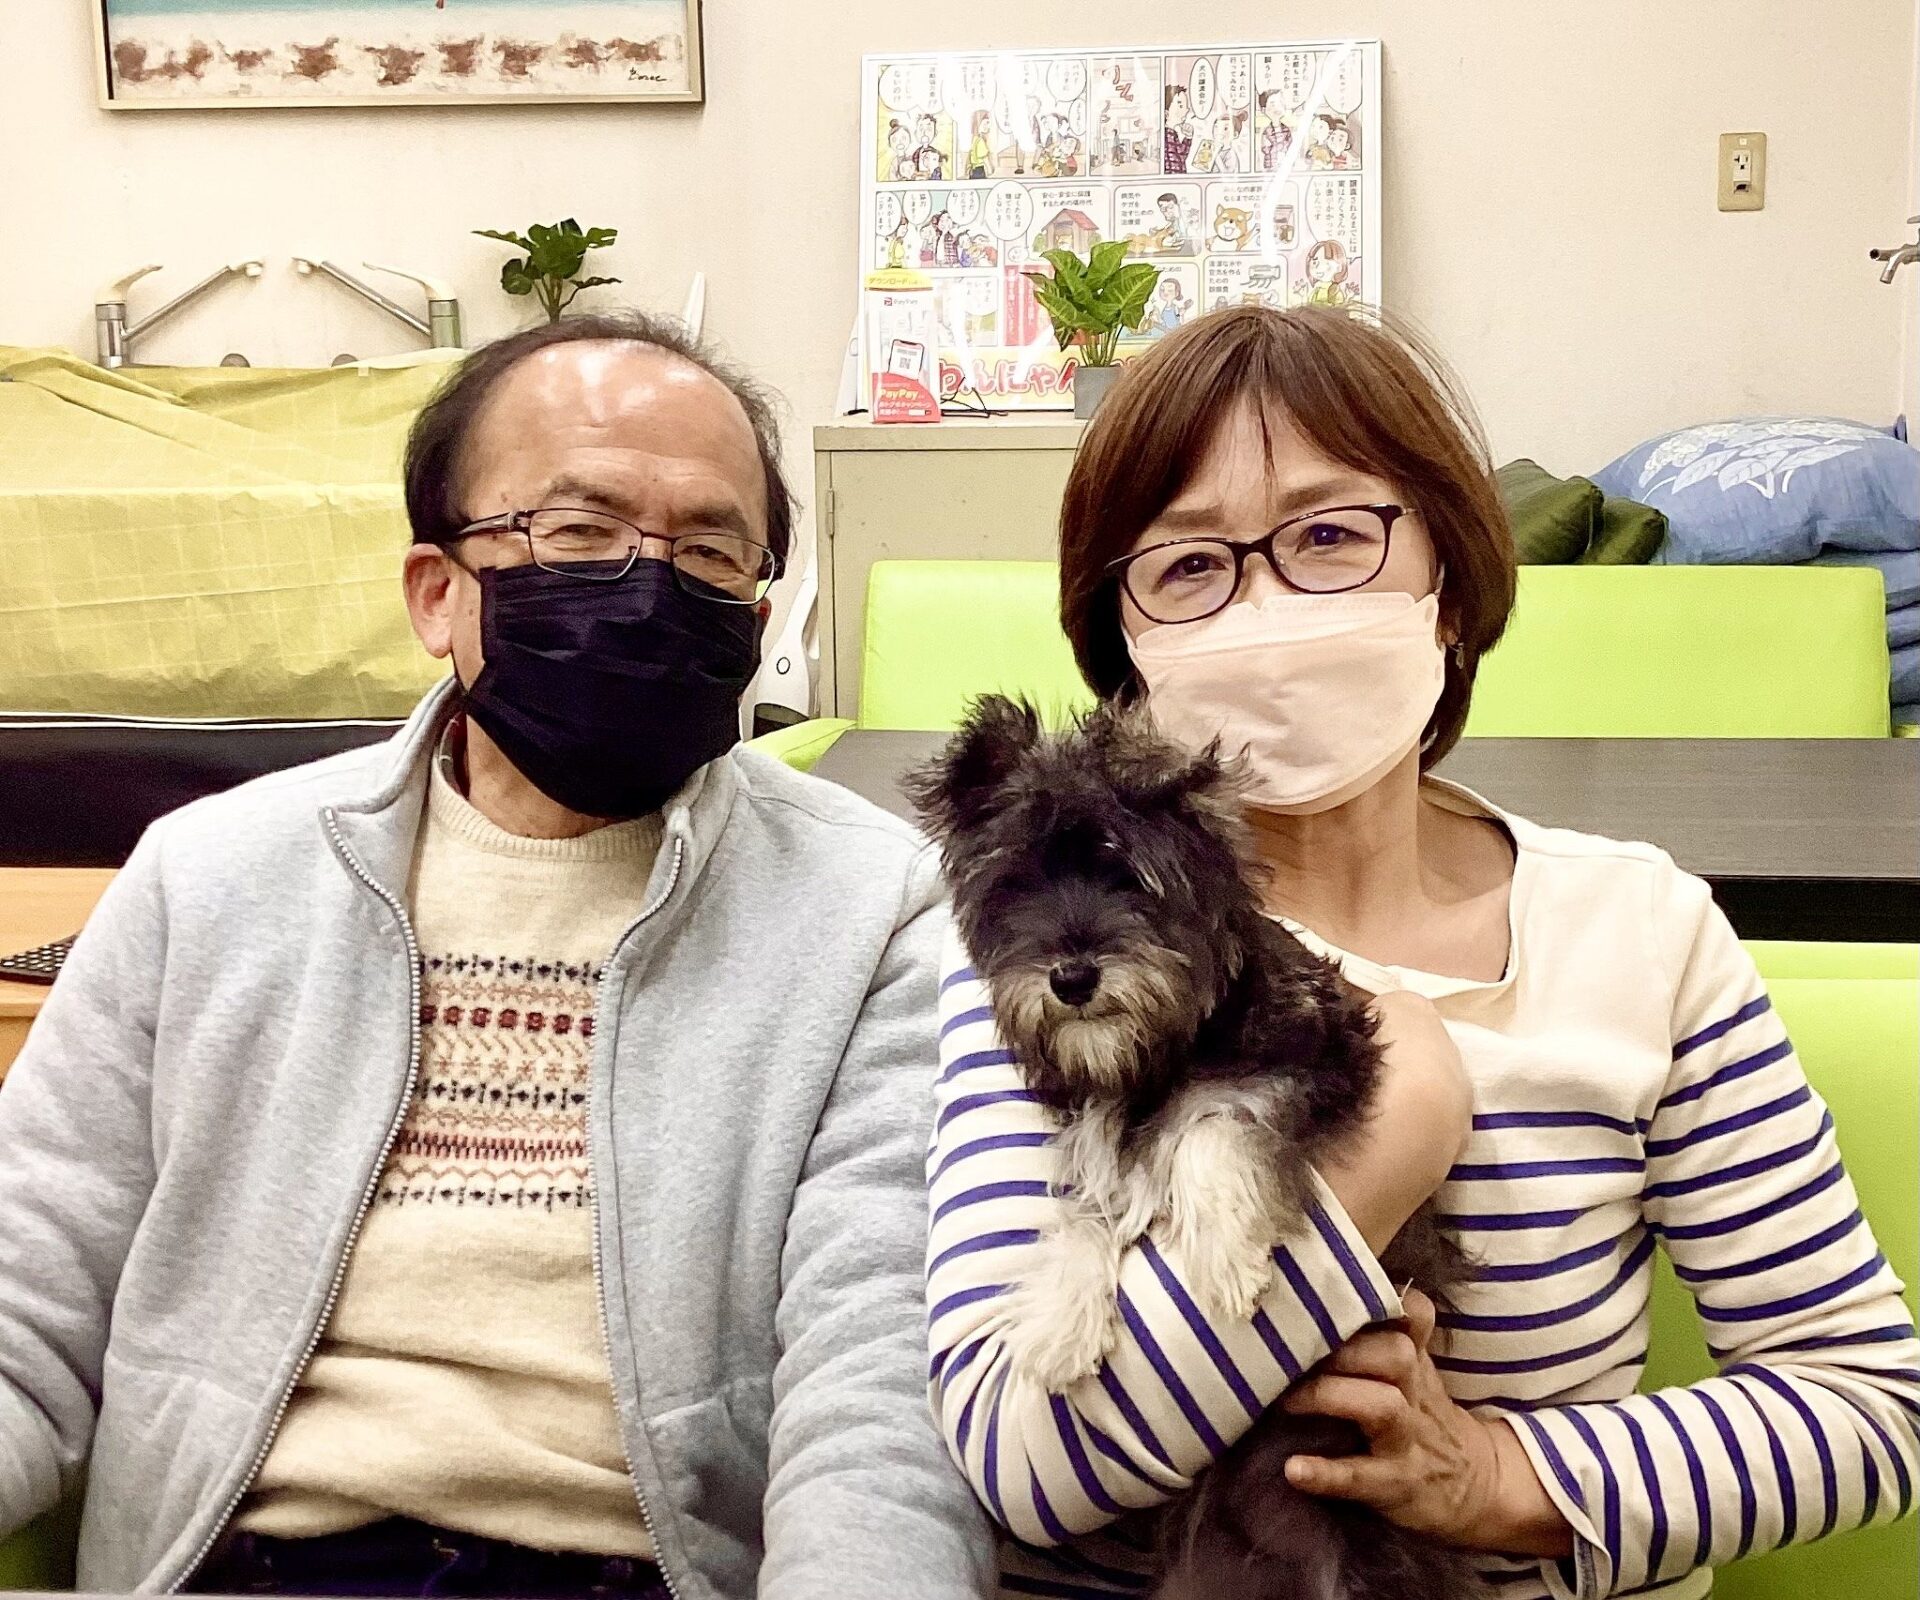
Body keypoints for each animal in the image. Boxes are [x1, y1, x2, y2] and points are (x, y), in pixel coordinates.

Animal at [908, 695, 1478, 1600]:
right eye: (1015, 884)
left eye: (1129, 878)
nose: (1071, 976)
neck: (1153, 1054)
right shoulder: (1091, 1128)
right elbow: (1084, 1208)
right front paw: (1060, 1318)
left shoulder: (1317, 1057)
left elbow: (1213, 1121)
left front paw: (1225, 1256)